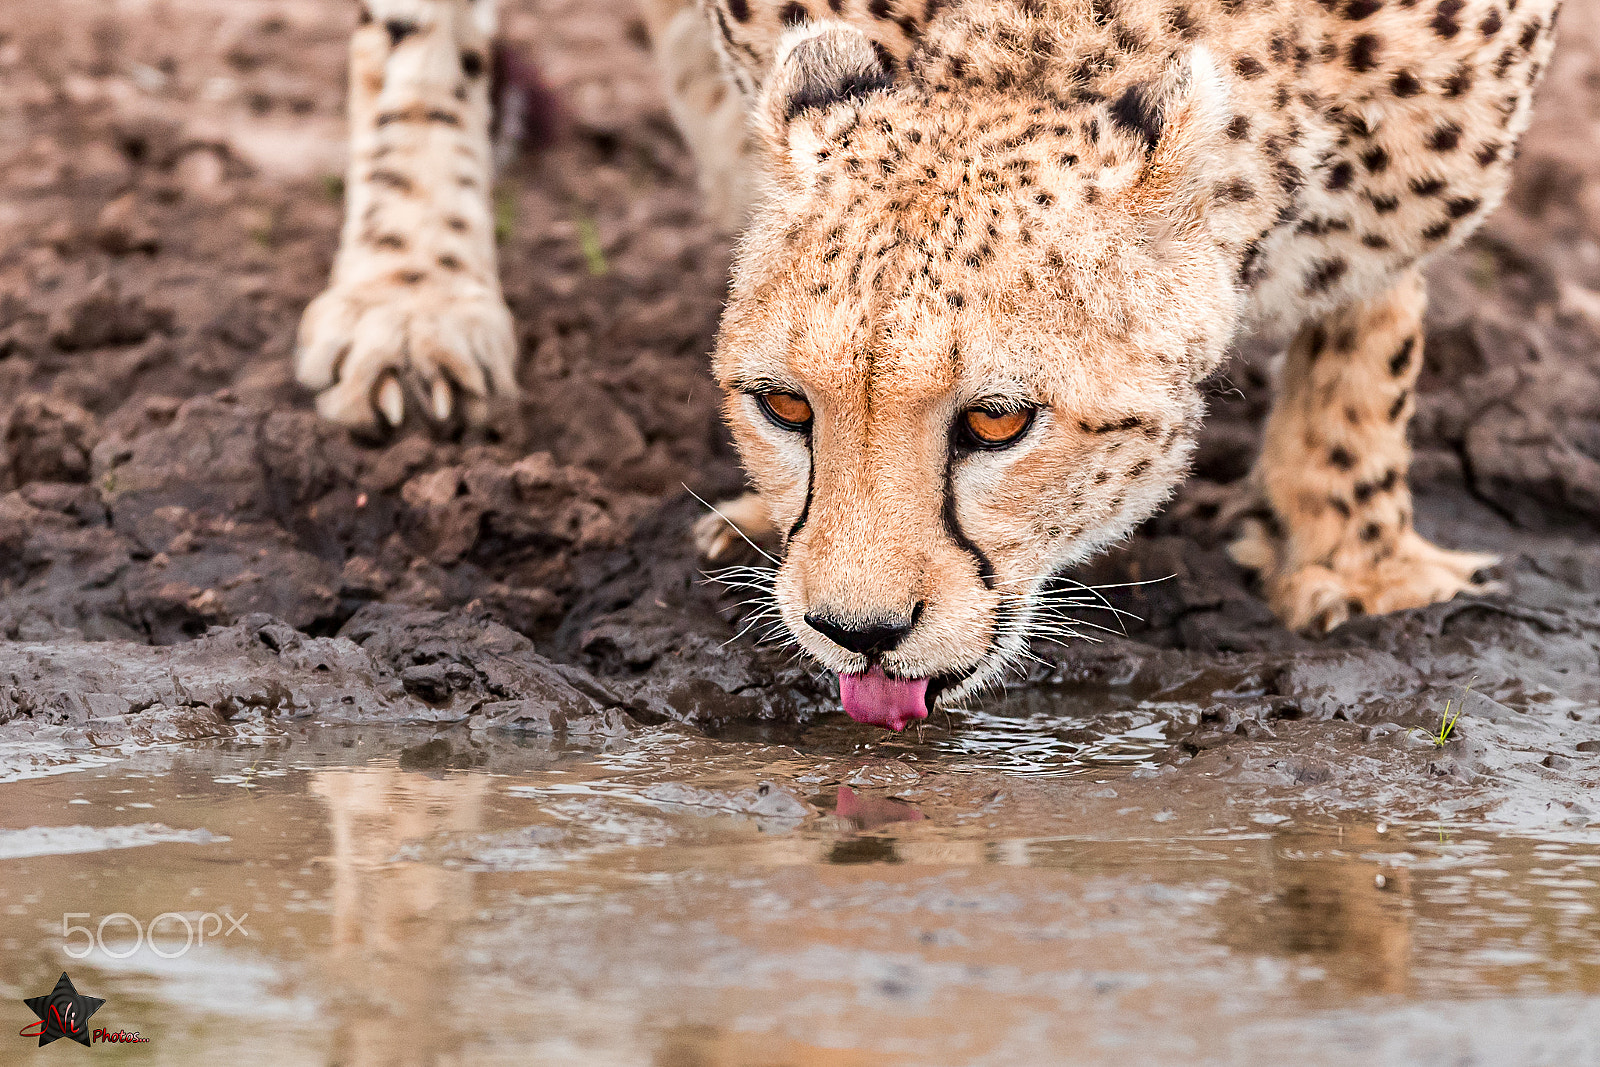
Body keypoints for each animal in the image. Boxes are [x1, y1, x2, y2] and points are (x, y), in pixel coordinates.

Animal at [297, 0, 1548, 726]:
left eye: (997, 421)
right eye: (783, 404)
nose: (856, 630)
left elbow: (1376, 306)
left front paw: (1355, 552)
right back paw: (412, 302)